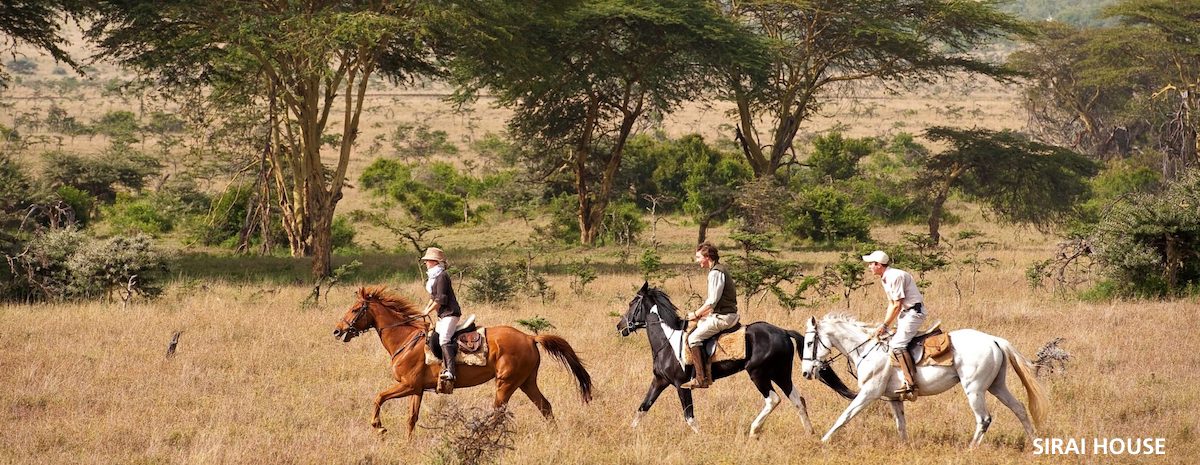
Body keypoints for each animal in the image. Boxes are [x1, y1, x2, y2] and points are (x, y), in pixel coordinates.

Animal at [333, 286, 593, 436]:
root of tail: (530, 337)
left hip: (506, 384)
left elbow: (378, 397)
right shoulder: (416, 389)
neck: (404, 339)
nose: (337, 331)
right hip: (526, 382)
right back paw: (555, 435)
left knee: (499, 412)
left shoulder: (407, 385)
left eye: (355, 309)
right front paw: (407, 443)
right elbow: (411, 419)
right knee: (545, 406)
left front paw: (378, 426)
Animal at [616, 283, 857, 438]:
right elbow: (643, 406)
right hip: (780, 374)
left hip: (758, 373)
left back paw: (754, 430)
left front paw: (702, 439)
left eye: (632, 303)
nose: (620, 326)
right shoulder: (660, 381)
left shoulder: (680, 385)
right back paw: (810, 433)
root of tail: (781, 331)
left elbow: (689, 416)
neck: (667, 340)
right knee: (798, 400)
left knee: (773, 399)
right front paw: (628, 431)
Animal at [799, 313, 1048, 447]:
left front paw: (823, 441)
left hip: (974, 389)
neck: (866, 349)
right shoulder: (893, 398)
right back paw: (1034, 442)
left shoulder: (869, 393)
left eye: (810, 343)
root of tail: (994, 340)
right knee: (1020, 408)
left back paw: (970, 449)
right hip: (997, 386)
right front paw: (904, 447)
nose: (805, 373)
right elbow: (901, 425)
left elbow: (844, 417)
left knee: (984, 419)